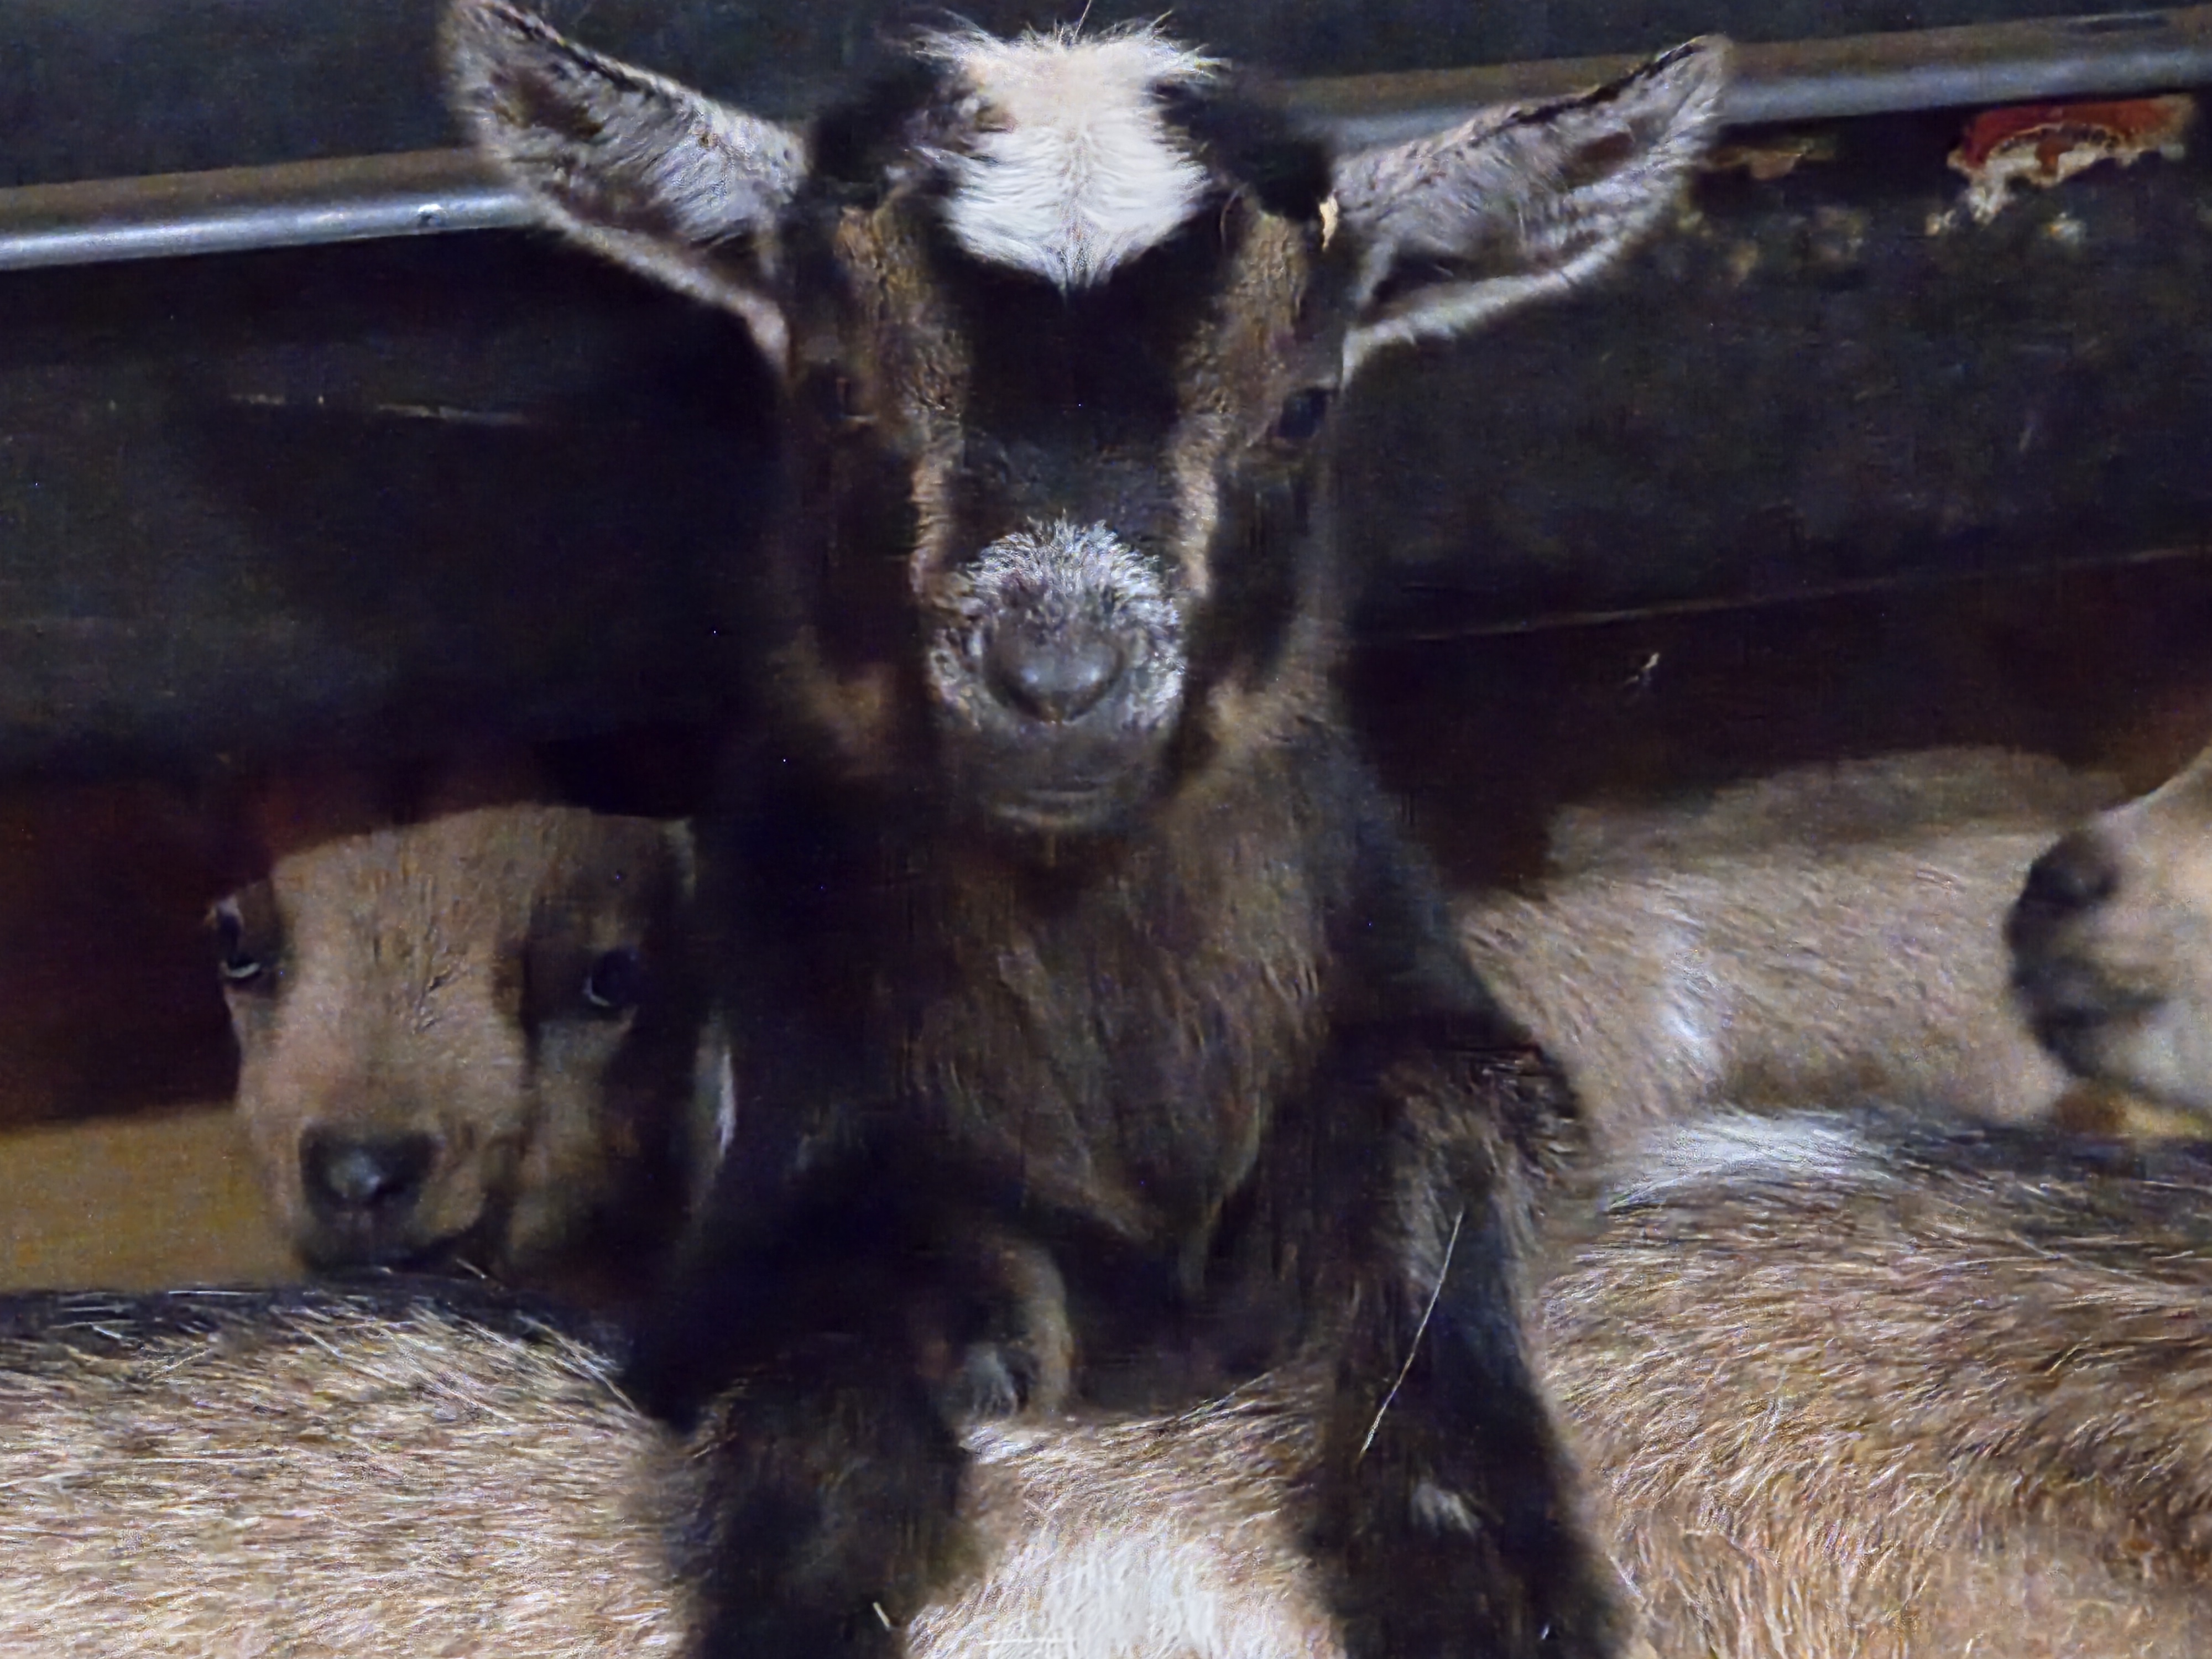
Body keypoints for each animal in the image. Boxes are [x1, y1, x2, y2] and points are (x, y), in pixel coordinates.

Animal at [447, 7, 1727, 1657]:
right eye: (835, 386)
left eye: (1304, 402)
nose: (1055, 677)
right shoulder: (759, 1215)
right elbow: (830, 1366)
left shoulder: (1462, 1038)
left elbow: (1418, 1130)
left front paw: (1485, 1567)